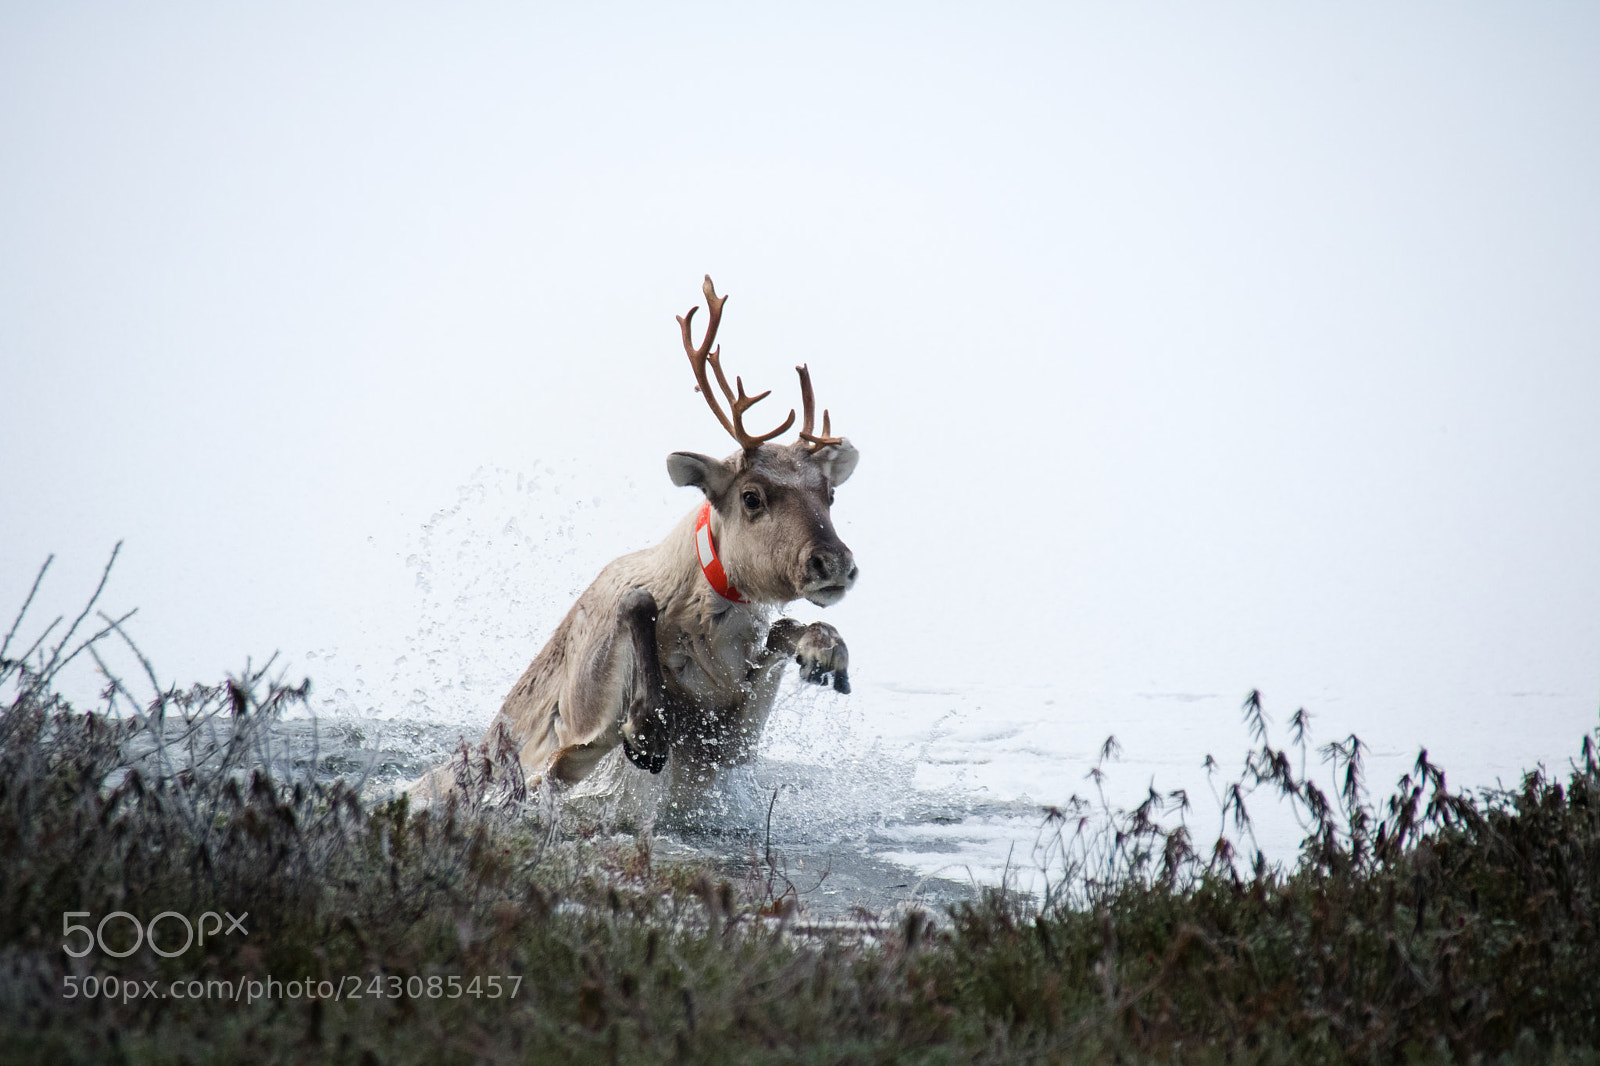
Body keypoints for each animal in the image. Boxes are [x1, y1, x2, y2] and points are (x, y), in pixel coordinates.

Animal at [411, 276, 859, 814]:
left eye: (829, 493)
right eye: (751, 497)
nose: (834, 562)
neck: (707, 625)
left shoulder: (726, 744)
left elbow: (784, 628)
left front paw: (827, 654)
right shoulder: (569, 742)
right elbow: (637, 607)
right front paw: (645, 728)